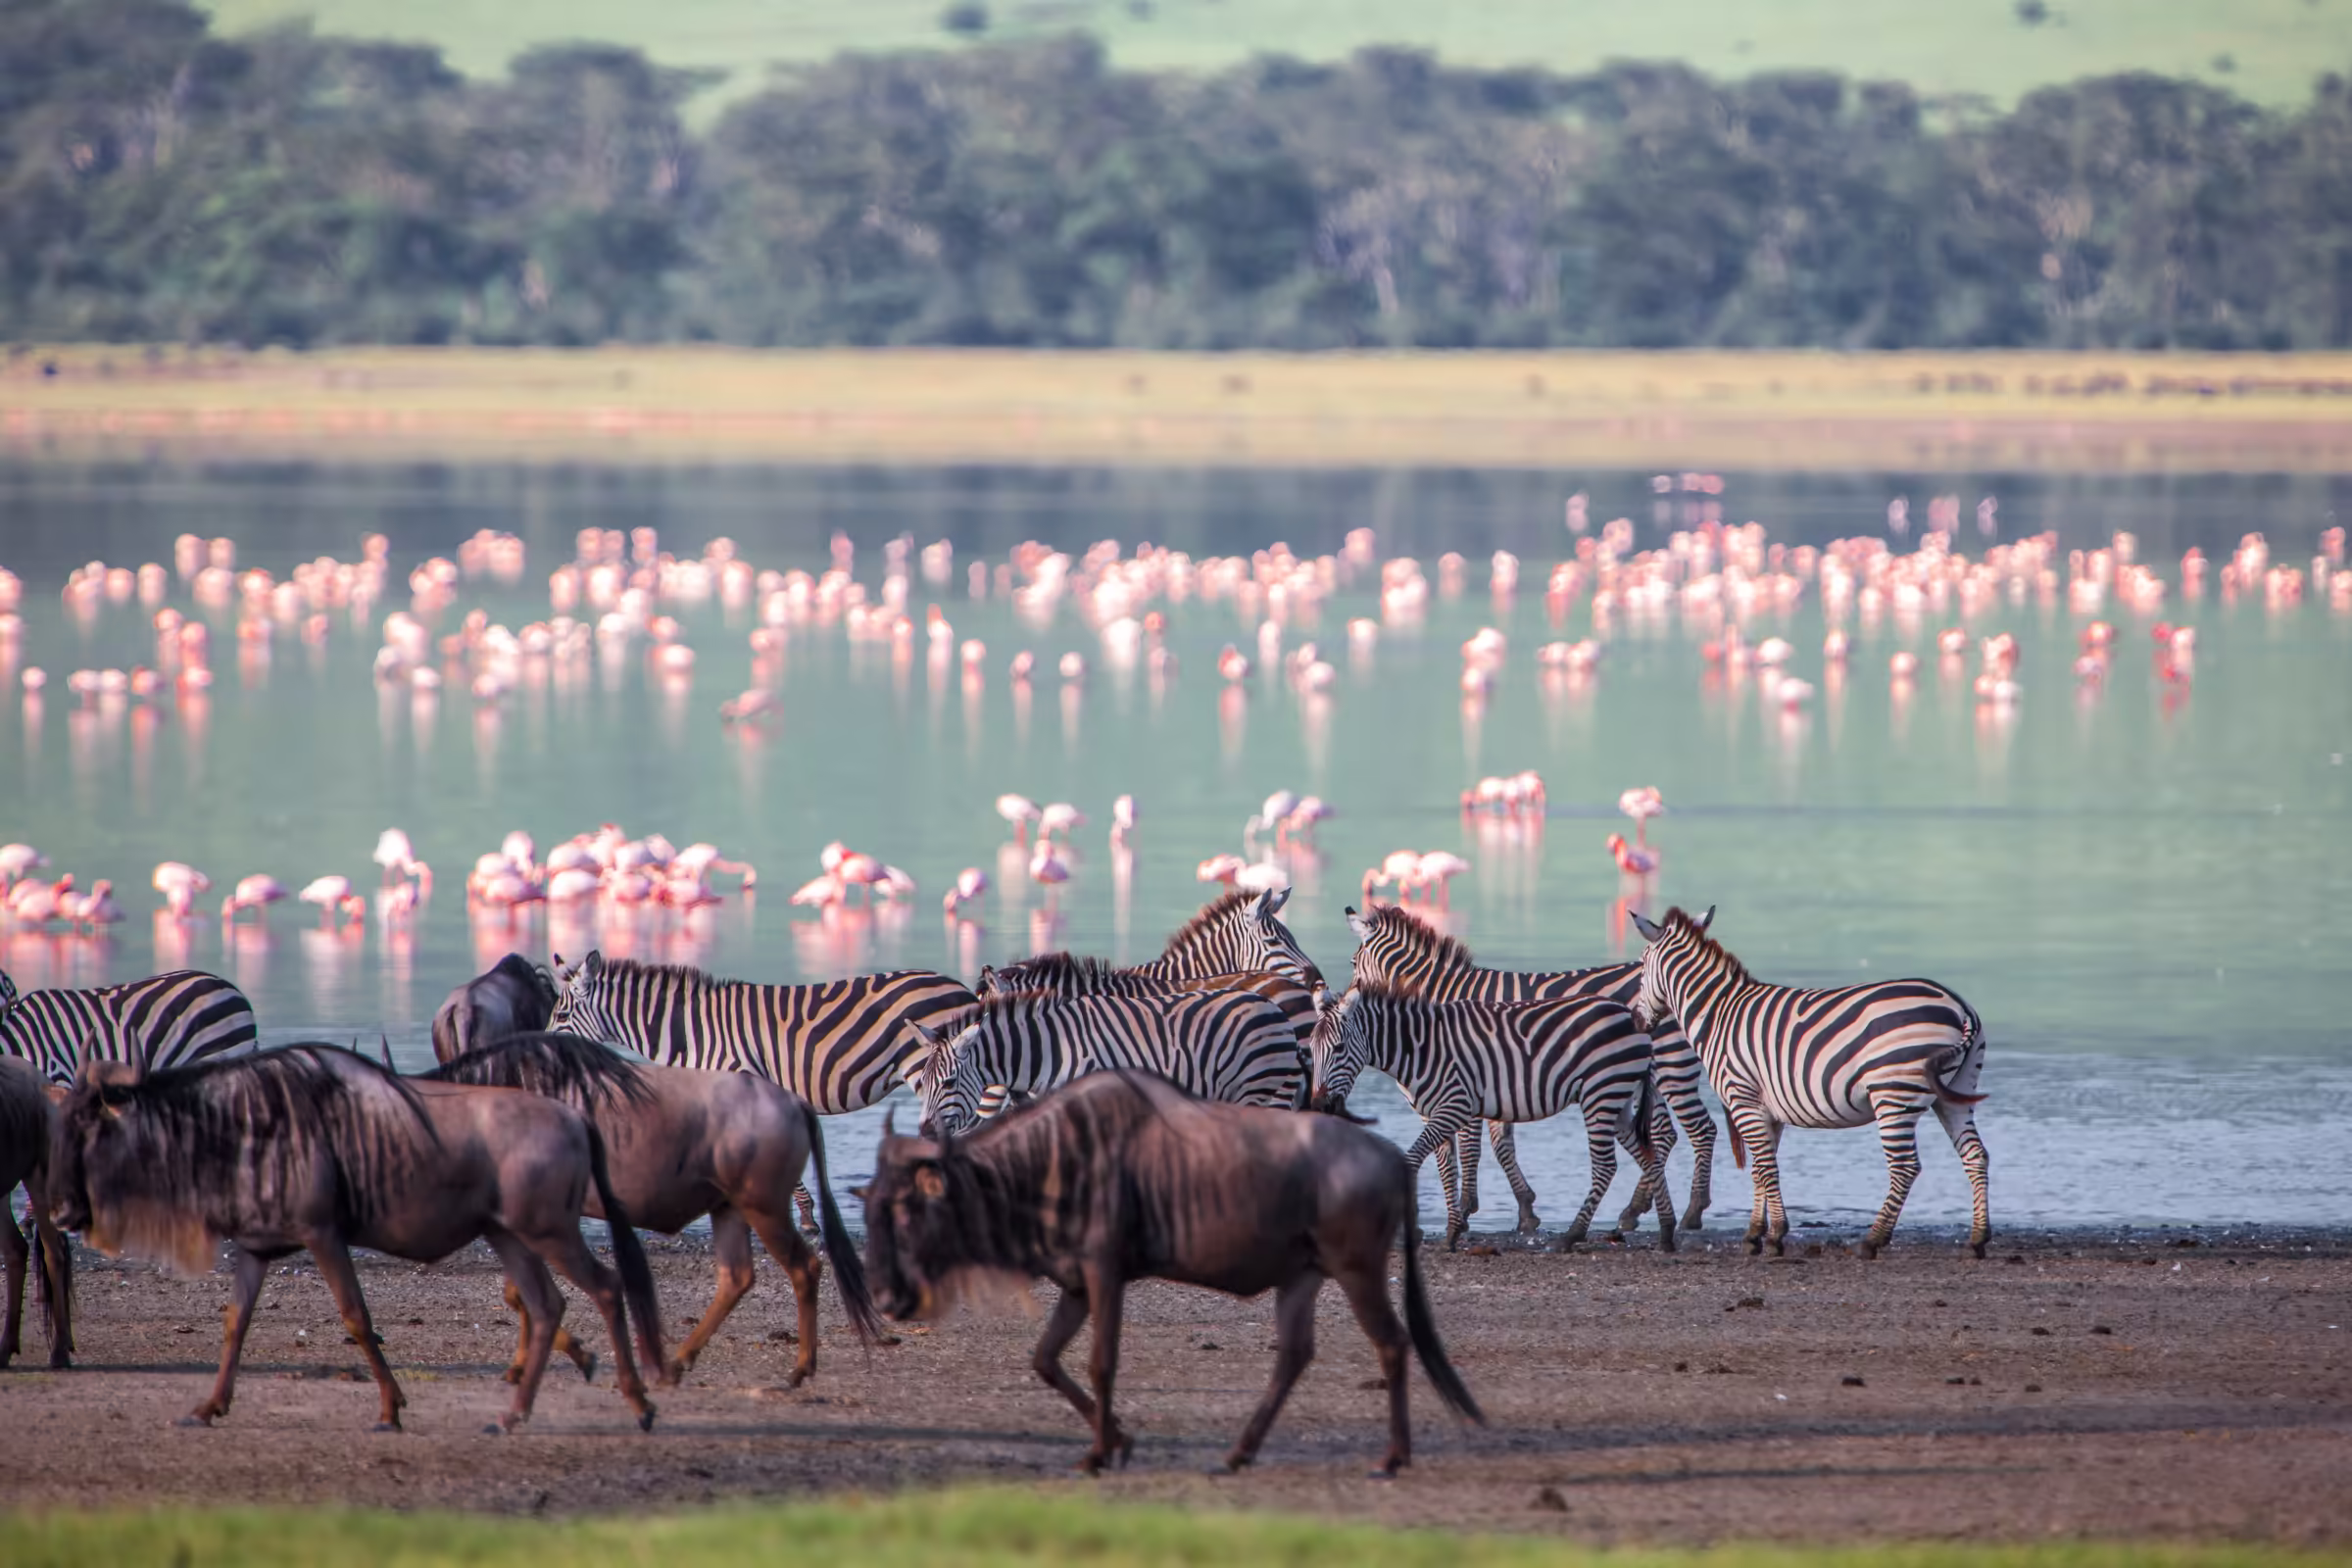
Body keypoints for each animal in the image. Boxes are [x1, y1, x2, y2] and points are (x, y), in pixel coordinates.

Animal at [910, 987, 1302, 1137]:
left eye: (948, 1083)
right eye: (922, 1084)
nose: (925, 1131)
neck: (1050, 1048)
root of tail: (1273, 1007)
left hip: (1257, 1090)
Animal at [1306, 981, 1675, 1251]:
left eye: (1338, 1048)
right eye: (1311, 1049)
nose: (1320, 1106)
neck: (1418, 1048)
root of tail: (1629, 1015)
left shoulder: (1454, 1106)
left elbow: (1411, 1161)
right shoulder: (1432, 1113)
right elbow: (1446, 1170)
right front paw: (1453, 1231)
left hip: (1601, 1094)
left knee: (1606, 1167)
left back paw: (1572, 1235)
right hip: (1619, 1100)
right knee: (1649, 1156)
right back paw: (1667, 1232)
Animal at [1345, 903, 1717, 1235]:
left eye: (1352, 963)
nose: (1342, 1000)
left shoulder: (1470, 1075)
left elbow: (1471, 1148)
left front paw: (1465, 1211)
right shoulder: (1498, 1079)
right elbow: (1500, 1145)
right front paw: (1525, 1210)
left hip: (1670, 1066)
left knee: (1698, 1129)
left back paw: (1690, 1212)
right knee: (1666, 1134)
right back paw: (1637, 1209)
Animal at [1628, 906, 1990, 1259]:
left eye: (1643, 965)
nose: (1635, 1020)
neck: (1718, 1014)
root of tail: (1958, 1006)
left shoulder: (1743, 1098)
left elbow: (1766, 1167)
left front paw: (1775, 1236)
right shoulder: (1766, 1109)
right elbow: (1761, 1168)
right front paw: (1755, 1234)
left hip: (1893, 1095)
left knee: (1905, 1167)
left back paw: (1872, 1241)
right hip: (1955, 1093)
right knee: (1975, 1155)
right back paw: (1977, 1239)